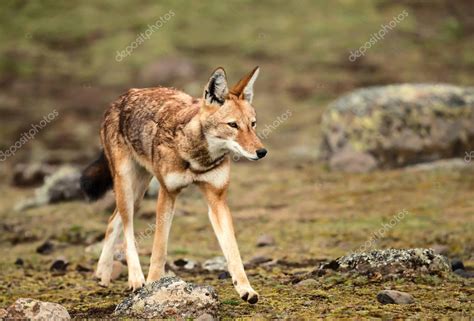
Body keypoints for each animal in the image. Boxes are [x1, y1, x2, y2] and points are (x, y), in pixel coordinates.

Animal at [81, 67, 266, 302]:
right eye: (233, 125)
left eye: (252, 124)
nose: (262, 152)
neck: (197, 157)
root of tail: (122, 97)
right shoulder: (167, 193)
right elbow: (159, 249)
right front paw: (153, 285)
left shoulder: (217, 199)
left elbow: (233, 252)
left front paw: (245, 288)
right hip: (127, 187)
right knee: (127, 230)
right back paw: (135, 279)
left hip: (138, 193)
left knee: (113, 220)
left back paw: (102, 274)